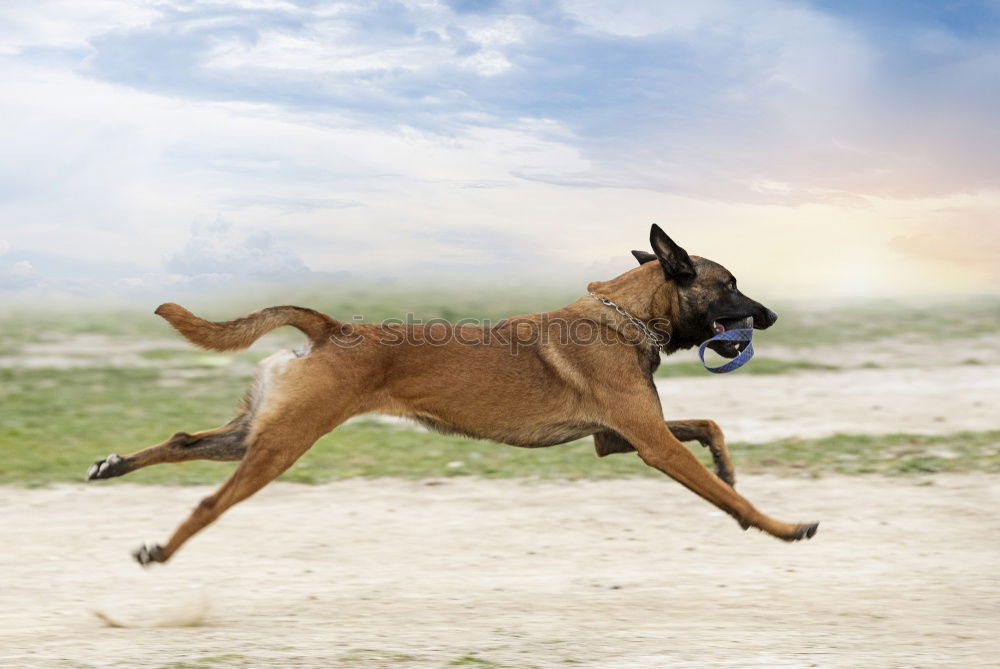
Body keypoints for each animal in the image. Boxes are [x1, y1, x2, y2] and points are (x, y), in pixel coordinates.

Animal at [88, 226, 820, 564]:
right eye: (730, 285)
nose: (772, 316)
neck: (629, 313)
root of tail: (333, 327)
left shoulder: (617, 440)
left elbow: (713, 430)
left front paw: (731, 470)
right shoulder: (652, 445)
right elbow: (726, 493)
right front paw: (782, 526)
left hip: (255, 432)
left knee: (184, 440)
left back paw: (114, 464)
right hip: (280, 446)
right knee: (210, 502)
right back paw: (161, 548)